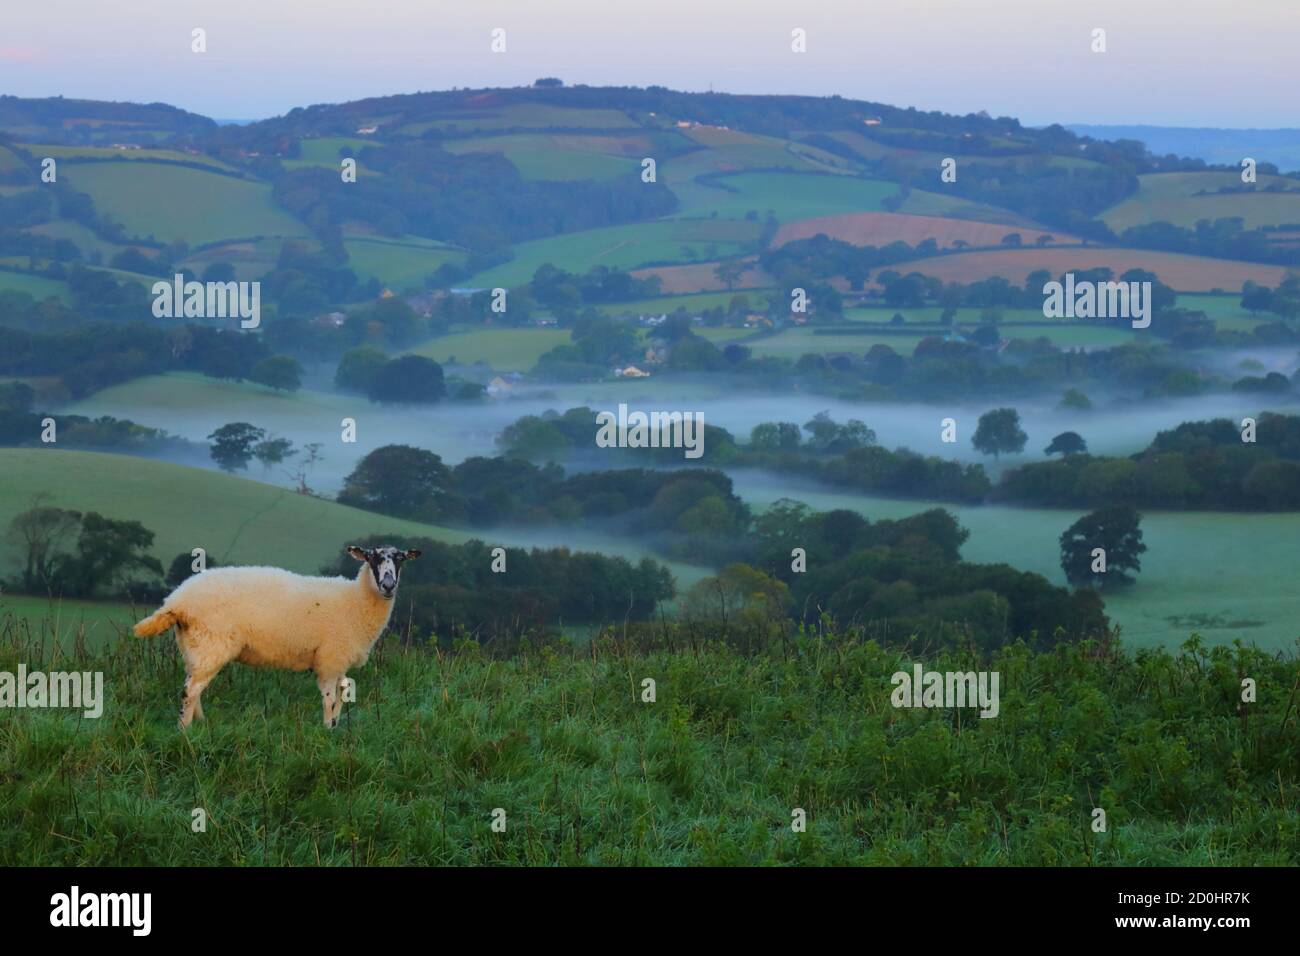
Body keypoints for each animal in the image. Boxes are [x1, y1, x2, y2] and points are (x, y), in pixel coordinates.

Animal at [131, 546, 418, 733]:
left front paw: (335, 726)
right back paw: (184, 730)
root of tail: (177, 600)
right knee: (190, 690)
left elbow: (342, 692)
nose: (388, 585)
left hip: (194, 646)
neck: (355, 602)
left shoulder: (337, 661)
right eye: (372, 558)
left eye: (401, 559)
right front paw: (327, 729)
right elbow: (329, 698)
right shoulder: (330, 659)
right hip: (211, 643)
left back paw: (200, 723)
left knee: (193, 686)